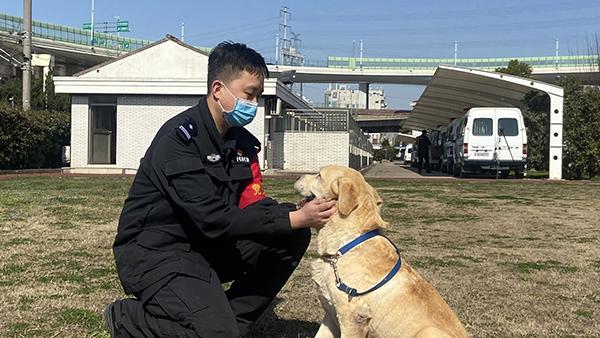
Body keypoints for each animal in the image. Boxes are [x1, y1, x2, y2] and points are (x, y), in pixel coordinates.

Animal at [296, 166, 468, 338]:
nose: (297, 176)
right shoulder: (331, 313)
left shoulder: (352, 318)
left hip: (427, 331)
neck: (343, 247)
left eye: (319, 175)